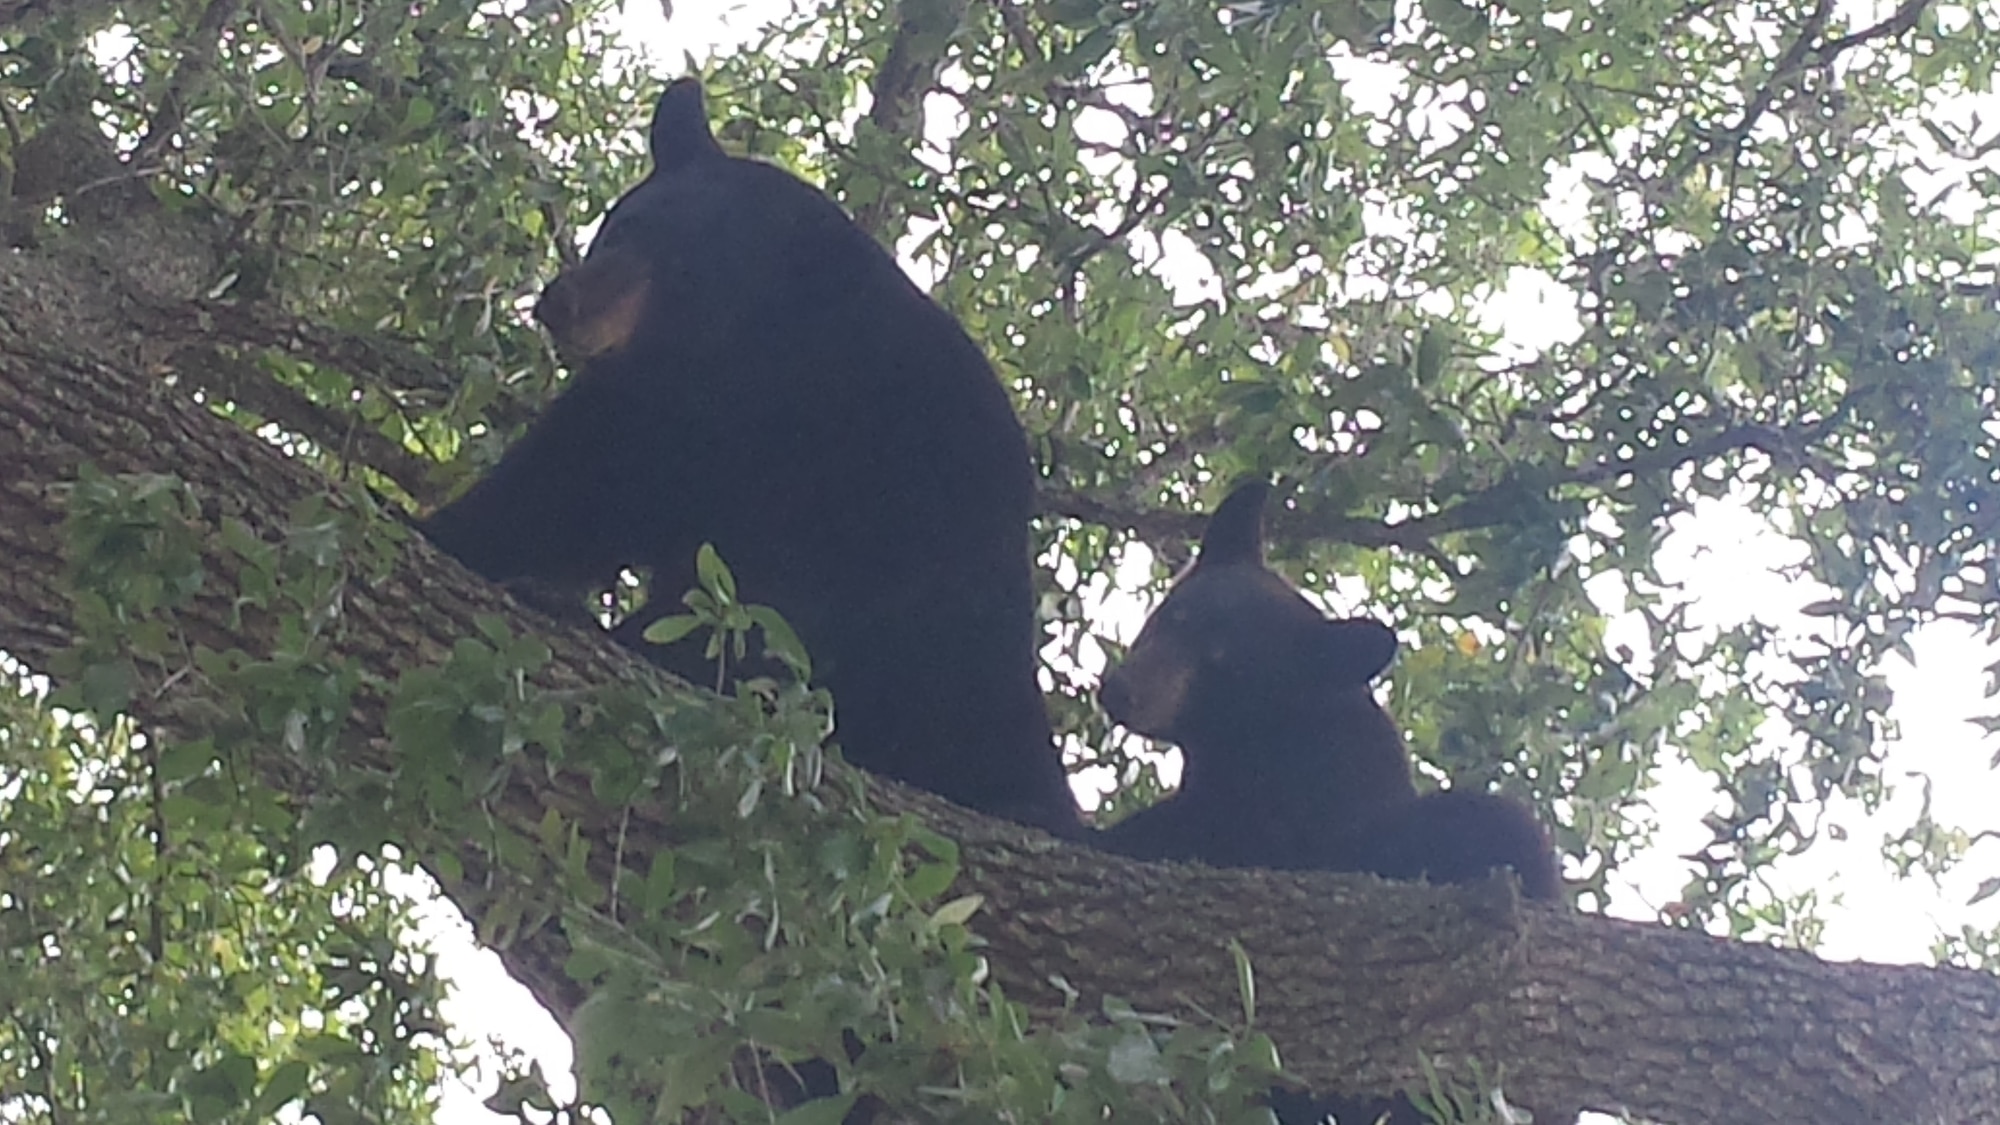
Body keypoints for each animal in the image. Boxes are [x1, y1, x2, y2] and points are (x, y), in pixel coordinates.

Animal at [420, 76, 1080, 832]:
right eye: (611, 230)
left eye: (638, 237)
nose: (557, 301)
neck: (750, 356)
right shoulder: (649, 415)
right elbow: (558, 494)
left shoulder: (898, 453)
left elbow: (793, 597)